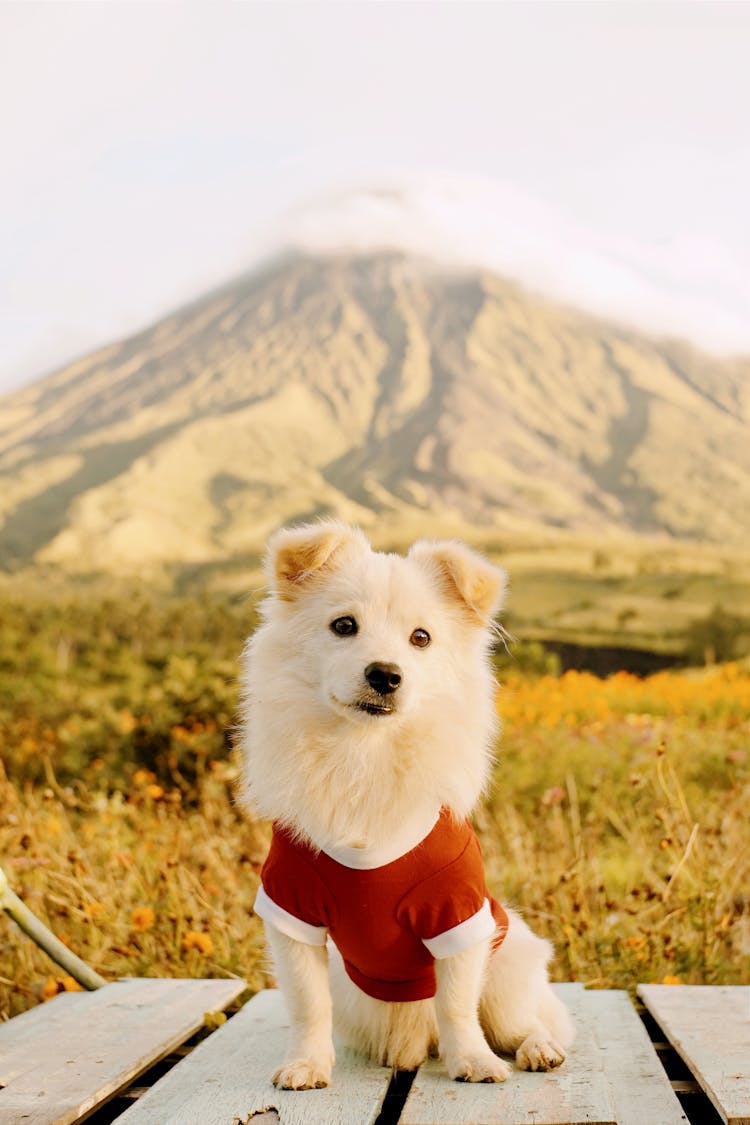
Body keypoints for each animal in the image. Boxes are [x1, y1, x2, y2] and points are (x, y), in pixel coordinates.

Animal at [240, 524, 575, 1089]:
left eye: (421, 638)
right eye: (344, 626)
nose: (385, 674)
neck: (365, 754)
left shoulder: (458, 917)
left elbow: (457, 1005)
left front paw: (474, 1062)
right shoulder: (292, 911)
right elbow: (308, 1005)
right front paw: (307, 1063)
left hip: (506, 972)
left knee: (521, 1023)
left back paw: (537, 1049)